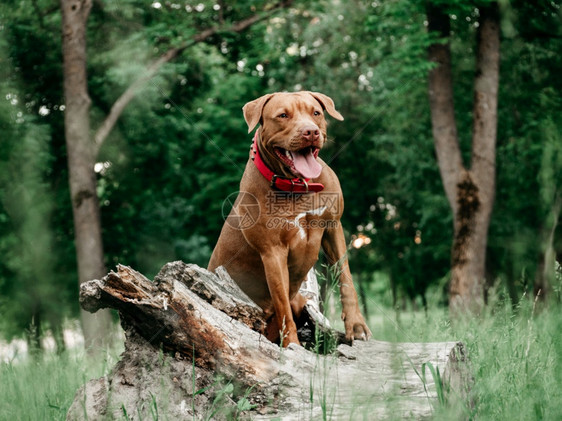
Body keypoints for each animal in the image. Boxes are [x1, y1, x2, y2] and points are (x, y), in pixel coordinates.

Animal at [208, 91, 370, 344]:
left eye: (316, 113)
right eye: (283, 115)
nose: (310, 132)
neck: (298, 185)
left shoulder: (333, 226)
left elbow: (346, 277)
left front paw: (356, 325)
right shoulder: (273, 252)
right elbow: (282, 303)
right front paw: (292, 345)